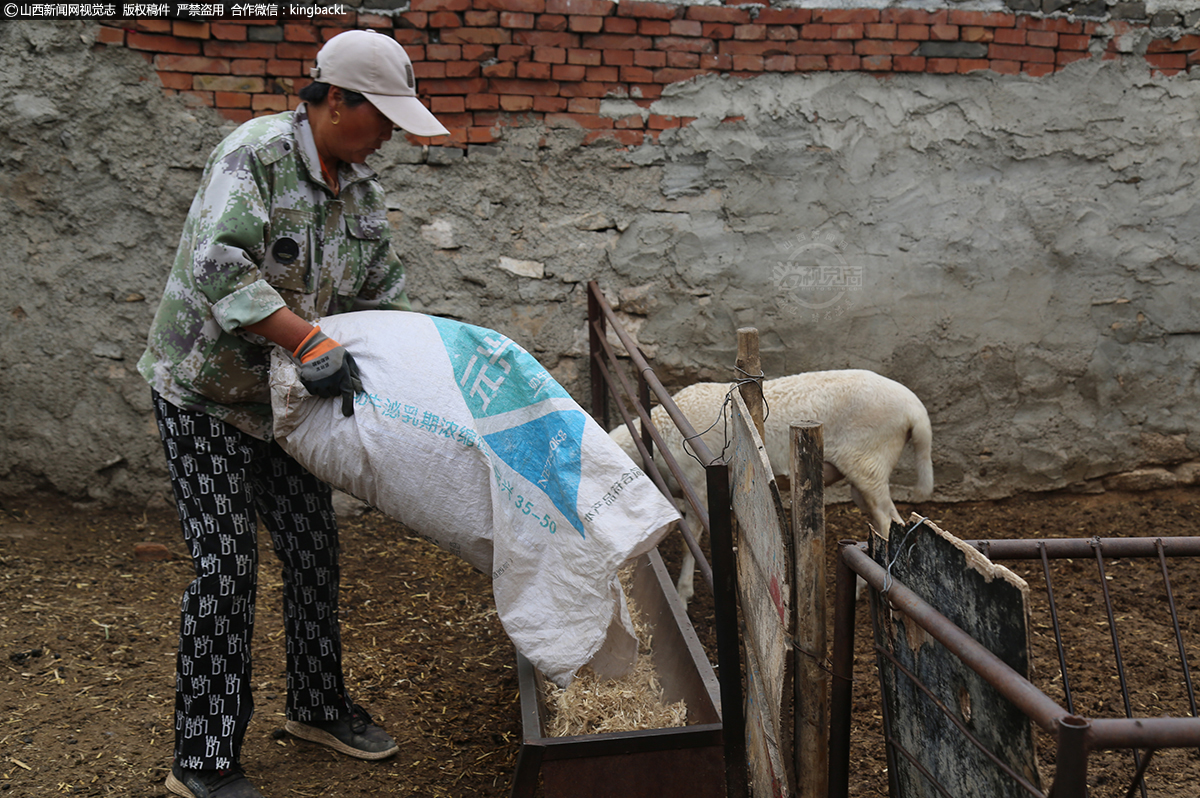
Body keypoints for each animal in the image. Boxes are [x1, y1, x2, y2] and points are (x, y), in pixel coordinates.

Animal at [609, 369, 936, 600]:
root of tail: (916, 410)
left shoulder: (697, 488)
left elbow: (691, 540)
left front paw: (683, 590)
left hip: (870, 461)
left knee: (889, 522)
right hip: (866, 473)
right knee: (882, 523)